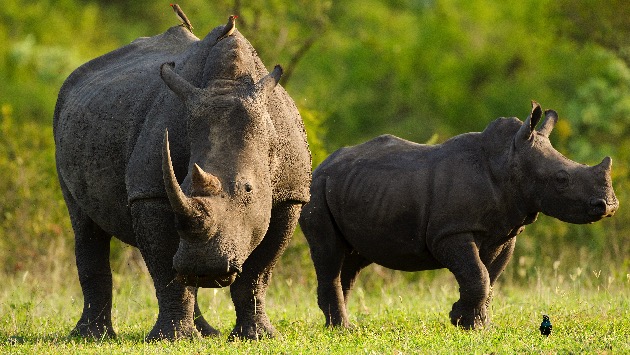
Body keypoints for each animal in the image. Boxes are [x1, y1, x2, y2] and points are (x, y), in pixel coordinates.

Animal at [53, 25, 312, 342]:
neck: (227, 84)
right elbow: (167, 270)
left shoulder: (291, 195)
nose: (206, 267)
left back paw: (207, 331)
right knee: (85, 225)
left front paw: (257, 336)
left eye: (248, 189)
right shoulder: (150, 193)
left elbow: (258, 273)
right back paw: (91, 336)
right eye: (184, 184)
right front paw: (171, 339)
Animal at [298, 103, 620, 330]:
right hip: (316, 191)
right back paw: (343, 329)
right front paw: (466, 323)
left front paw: (472, 323)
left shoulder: (504, 232)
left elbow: (489, 277)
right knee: (329, 253)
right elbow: (478, 275)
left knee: (352, 259)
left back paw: (339, 325)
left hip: (355, 187)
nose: (609, 205)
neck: (508, 162)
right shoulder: (450, 231)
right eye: (562, 179)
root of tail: (321, 165)